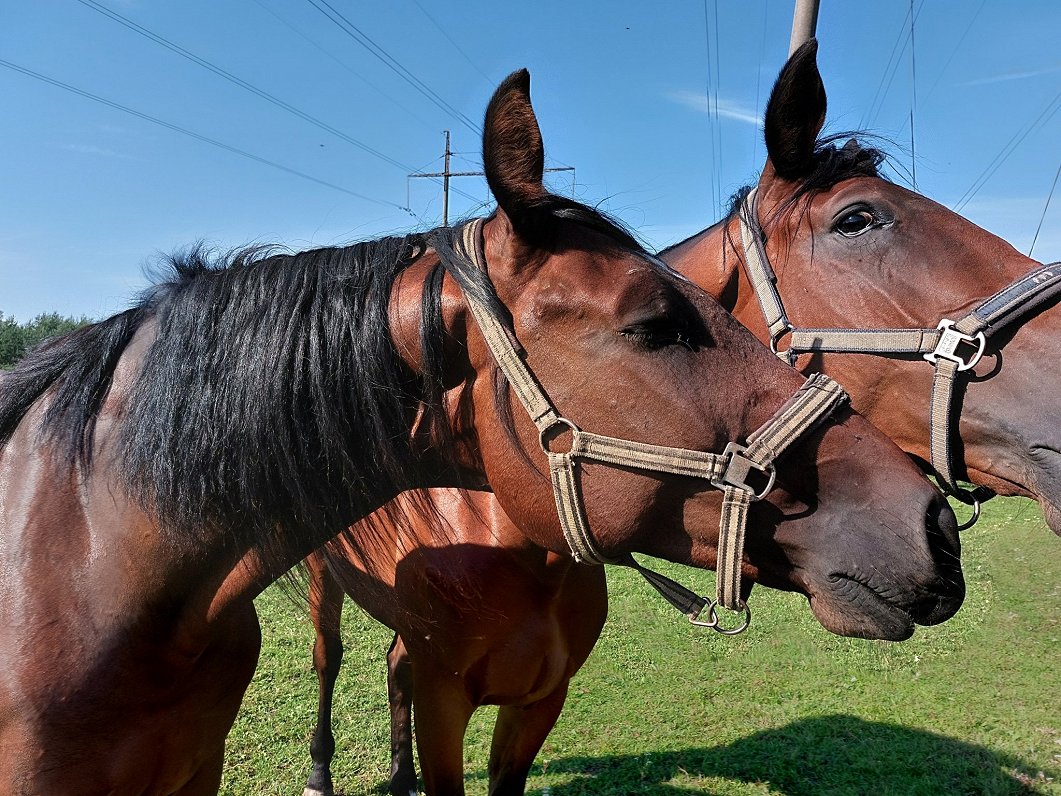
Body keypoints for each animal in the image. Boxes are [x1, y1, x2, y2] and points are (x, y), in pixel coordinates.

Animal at [303, 42, 1056, 796]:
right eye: (856, 220)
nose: (933, 530)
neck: (506, 537)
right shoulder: (445, 706)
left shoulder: (540, 701)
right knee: (328, 657)